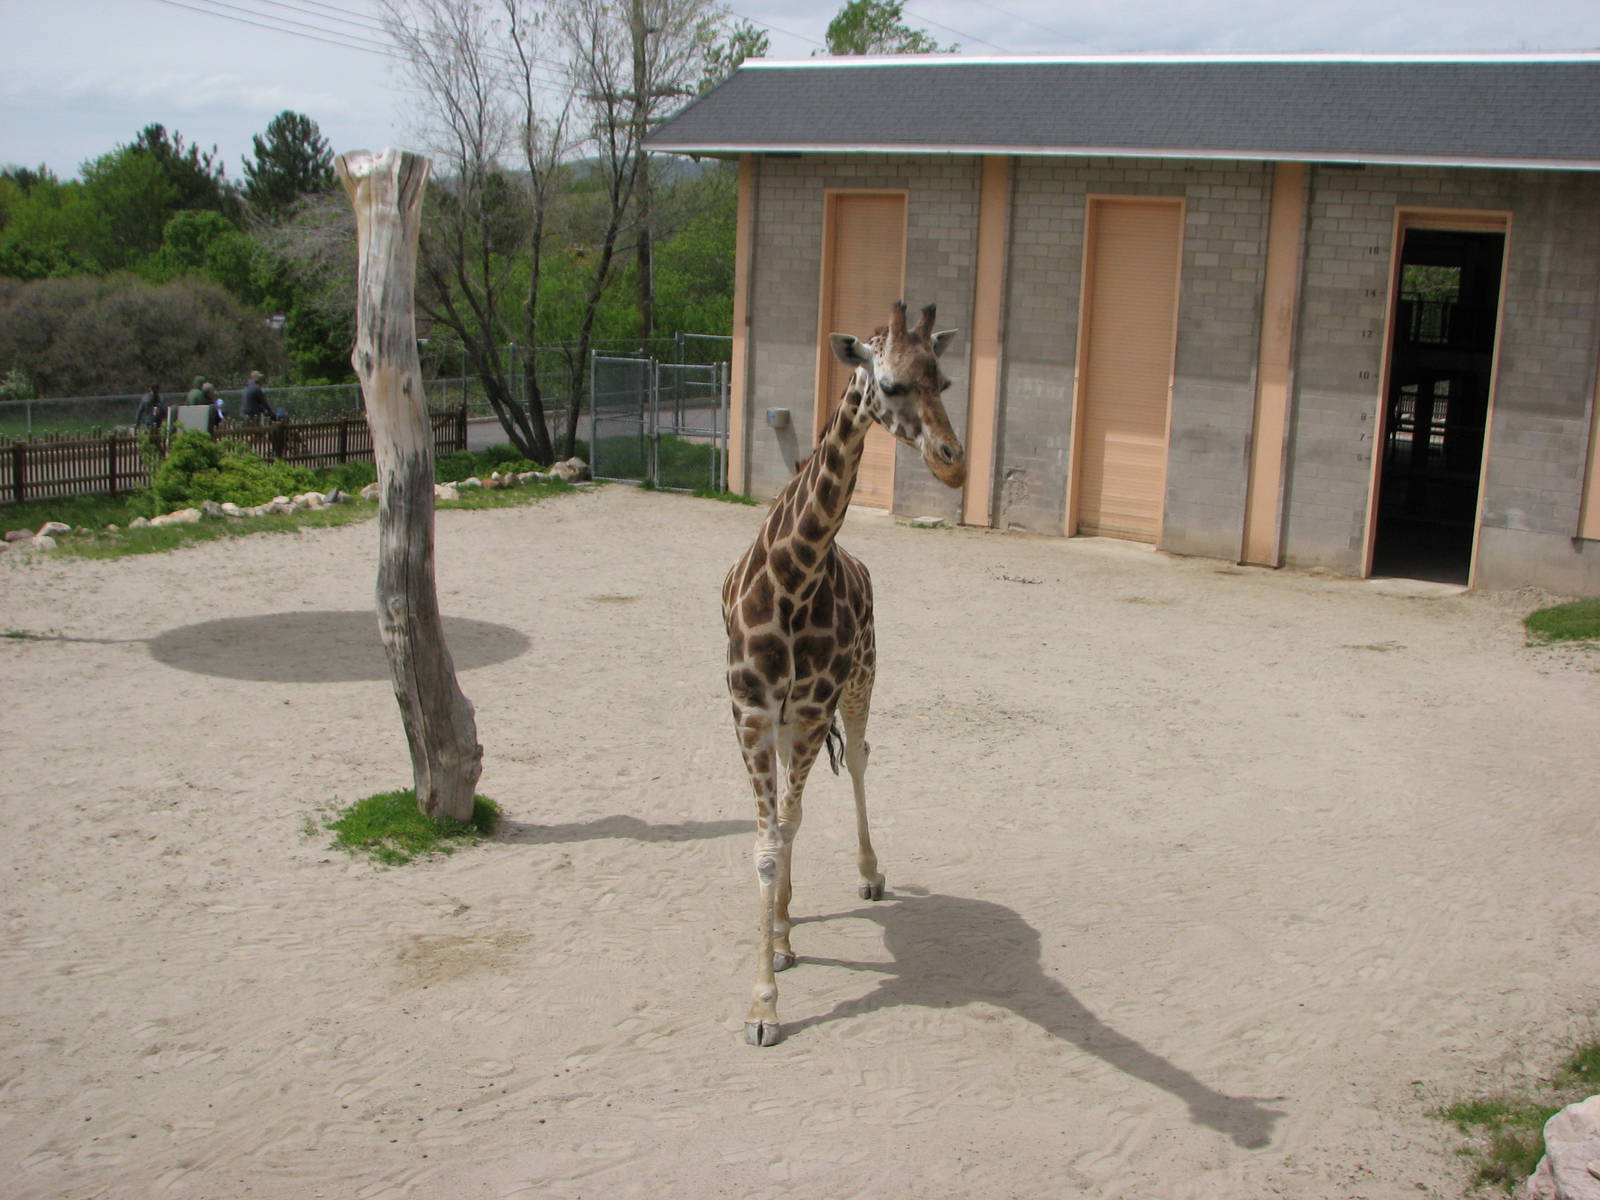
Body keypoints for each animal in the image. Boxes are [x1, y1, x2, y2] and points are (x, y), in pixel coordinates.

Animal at [722, 300, 965, 1047]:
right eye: (889, 384)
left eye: (944, 380)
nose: (953, 464)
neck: (795, 577)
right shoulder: (750, 710)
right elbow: (767, 843)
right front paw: (763, 999)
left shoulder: (808, 709)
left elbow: (791, 824)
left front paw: (769, 977)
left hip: (861, 684)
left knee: (857, 759)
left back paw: (866, 876)